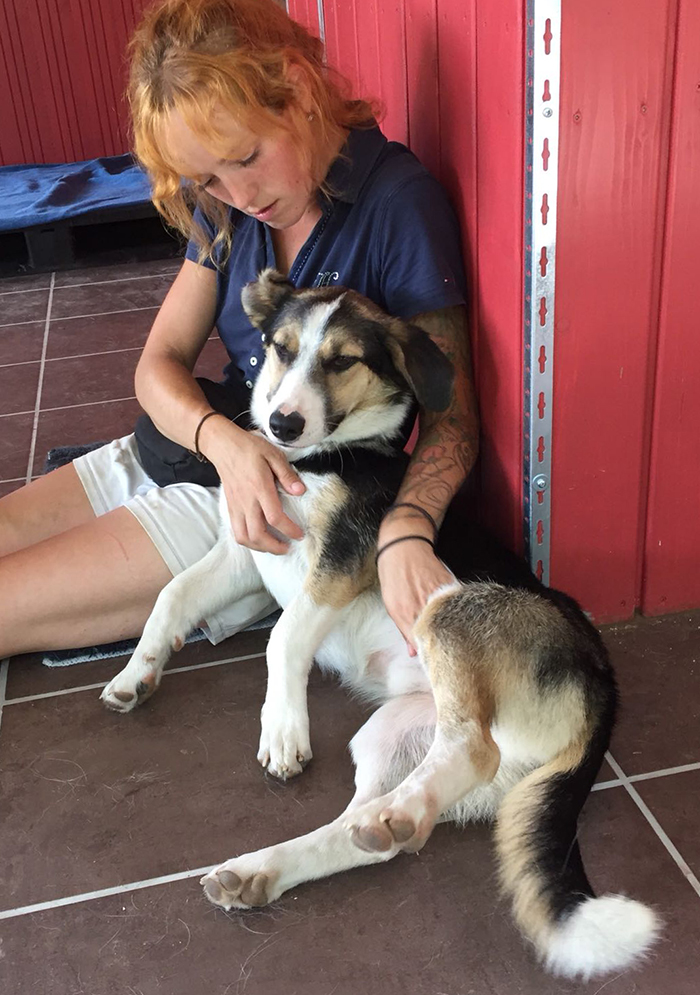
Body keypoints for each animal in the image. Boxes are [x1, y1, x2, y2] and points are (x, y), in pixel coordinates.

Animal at [101, 270, 659, 979]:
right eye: (281, 349)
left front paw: (283, 729)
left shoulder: (339, 563)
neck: (318, 461)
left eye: (343, 361)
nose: (282, 423)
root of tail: (604, 682)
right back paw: (281, 863)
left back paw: (377, 816)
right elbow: (173, 595)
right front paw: (135, 675)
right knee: (369, 831)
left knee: (471, 748)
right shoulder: (244, 555)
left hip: (444, 612)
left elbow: (283, 638)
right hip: (389, 737)